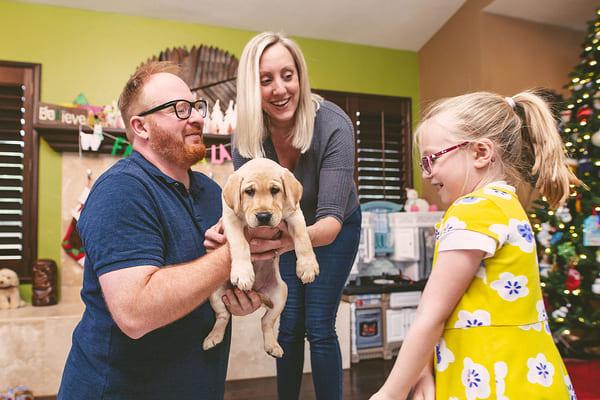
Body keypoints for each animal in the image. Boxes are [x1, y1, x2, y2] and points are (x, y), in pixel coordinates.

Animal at [203, 158, 318, 358]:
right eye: (249, 191)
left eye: (275, 190)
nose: (264, 216)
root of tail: (257, 291)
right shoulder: (230, 219)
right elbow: (240, 243)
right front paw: (243, 274)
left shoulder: (295, 213)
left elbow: (303, 238)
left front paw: (307, 267)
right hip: (215, 293)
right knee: (223, 316)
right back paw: (213, 337)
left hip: (282, 293)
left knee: (266, 321)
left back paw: (273, 346)